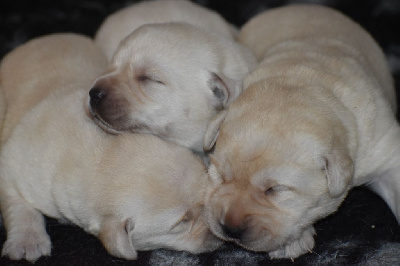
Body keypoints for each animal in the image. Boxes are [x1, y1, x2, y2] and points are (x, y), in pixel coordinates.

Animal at [0, 32, 220, 262]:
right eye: (182, 222)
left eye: (205, 173)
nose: (222, 233)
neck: (94, 156)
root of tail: (44, 38)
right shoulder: (11, 164)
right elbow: (18, 205)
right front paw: (27, 241)